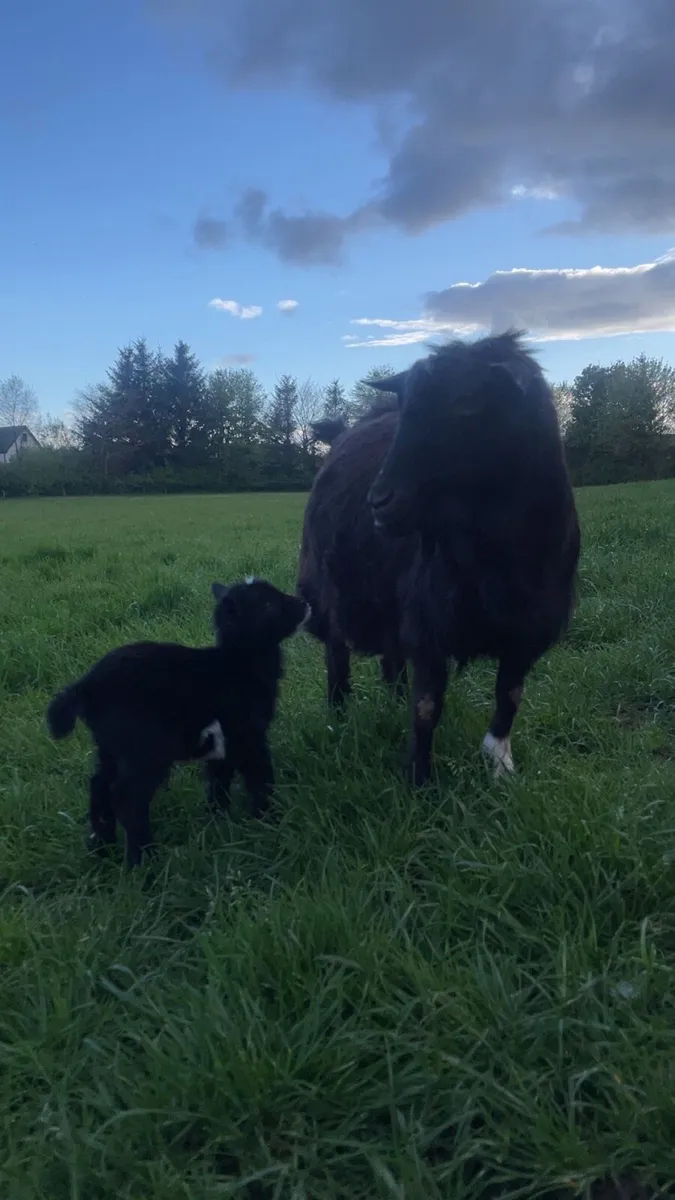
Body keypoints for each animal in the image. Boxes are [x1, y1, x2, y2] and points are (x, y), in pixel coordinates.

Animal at [46, 578, 309, 866]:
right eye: (268, 604)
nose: (304, 603)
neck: (237, 664)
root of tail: (85, 687)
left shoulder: (224, 742)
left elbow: (219, 779)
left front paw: (218, 821)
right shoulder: (248, 735)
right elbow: (260, 779)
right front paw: (269, 822)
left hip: (110, 746)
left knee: (99, 786)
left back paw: (101, 847)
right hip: (147, 747)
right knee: (127, 797)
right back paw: (143, 859)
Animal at [298, 331, 580, 786]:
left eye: (467, 400)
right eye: (405, 404)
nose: (379, 501)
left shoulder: (529, 627)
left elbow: (510, 697)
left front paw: (500, 766)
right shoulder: (429, 621)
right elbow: (428, 707)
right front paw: (419, 780)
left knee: (392, 659)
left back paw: (390, 701)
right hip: (327, 591)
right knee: (336, 655)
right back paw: (337, 716)